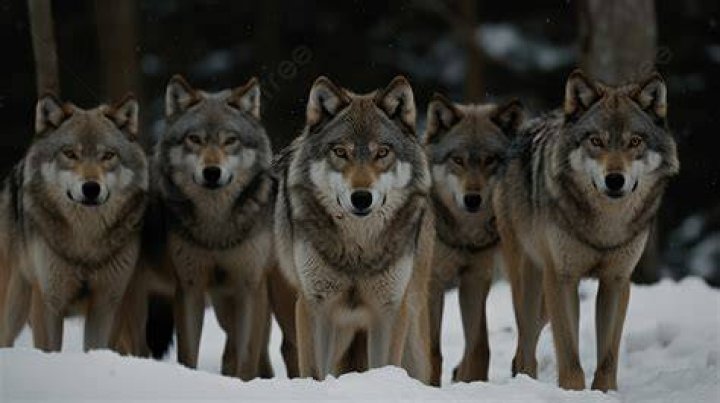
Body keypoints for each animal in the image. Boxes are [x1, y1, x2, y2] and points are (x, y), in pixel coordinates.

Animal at [0, 94, 148, 351]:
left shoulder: (107, 303)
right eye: (70, 154)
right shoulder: (49, 301)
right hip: (11, 308)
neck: (85, 241)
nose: (91, 188)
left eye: (107, 155)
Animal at [155, 75, 275, 380]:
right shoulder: (190, 286)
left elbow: (247, 358)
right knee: (230, 346)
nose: (211, 172)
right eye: (194, 139)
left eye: (230, 140)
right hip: (222, 307)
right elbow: (188, 353)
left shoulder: (250, 286)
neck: (216, 229)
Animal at [273, 76, 435, 383]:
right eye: (341, 152)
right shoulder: (315, 306)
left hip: (413, 341)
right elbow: (314, 372)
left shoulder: (389, 310)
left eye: (382, 152)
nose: (361, 198)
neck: (358, 250)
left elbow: (384, 367)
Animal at [423, 94, 524, 385]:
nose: (472, 199)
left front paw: (472, 381)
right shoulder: (433, 284)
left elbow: (479, 346)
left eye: (490, 160)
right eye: (457, 160)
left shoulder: (475, 280)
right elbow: (432, 351)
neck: (464, 236)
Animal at [493, 70, 679, 391]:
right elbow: (570, 355)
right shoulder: (562, 278)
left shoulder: (617, 281)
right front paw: (572, 392)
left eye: (634, 141)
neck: (605, 228)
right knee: (525, 346)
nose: (615, 179)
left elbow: (608, 357)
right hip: (532, 284)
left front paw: (605, 392)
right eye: (596, 141)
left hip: (545, 300)